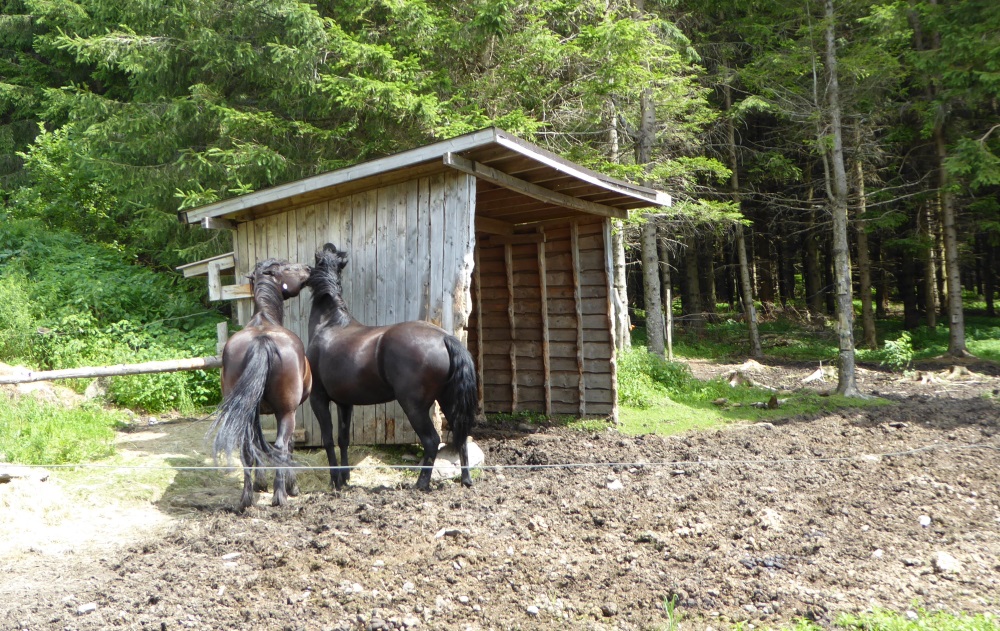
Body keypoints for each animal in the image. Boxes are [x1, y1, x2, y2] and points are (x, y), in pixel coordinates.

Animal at [213, 260, 314, 512]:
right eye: (289, 266)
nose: (309, 268)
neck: (265, 318)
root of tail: (262, 340)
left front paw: (260, 483)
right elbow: (289, 446)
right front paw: (291, 487)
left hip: (247, 413)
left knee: (247, 449)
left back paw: (246, 499)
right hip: (286, 413)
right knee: (280, 447)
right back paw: (280, 496)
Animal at [304, 244, 476, 492]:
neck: (330, 324)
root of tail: (444, 338)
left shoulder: (318, 398)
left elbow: (327, 439)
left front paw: (335, 481)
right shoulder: (344, 403)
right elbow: (343, 439)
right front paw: (345, 479)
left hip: (413, 406)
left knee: (432, 441)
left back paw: (421, 483)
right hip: (448, 401)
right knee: (460, 437)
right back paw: (466, 479)